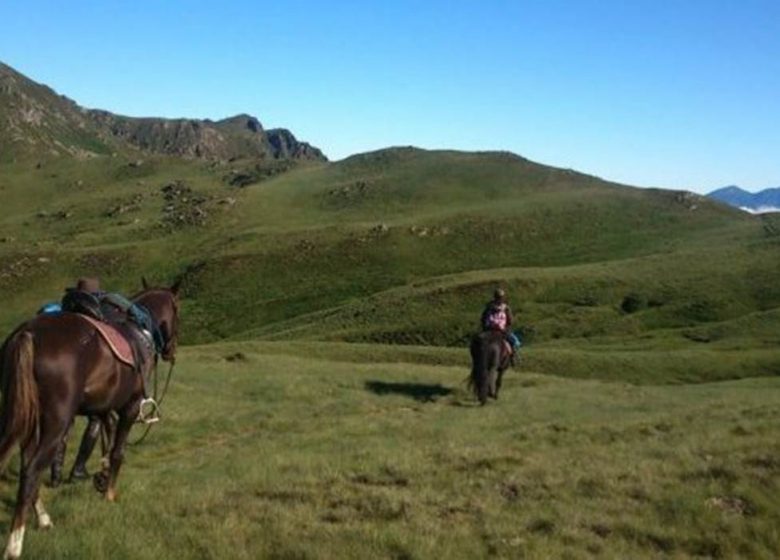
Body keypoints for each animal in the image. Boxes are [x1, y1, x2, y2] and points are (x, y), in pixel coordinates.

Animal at [0, 278, 180, 556]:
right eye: (177, 311)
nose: (171, 351)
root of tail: (28, 333)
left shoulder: (103, 409)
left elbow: (105, 439)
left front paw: (102, 479)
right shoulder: (129, 407)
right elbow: (118, 451)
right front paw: (109, 494)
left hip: (25, 416)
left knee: (26, 462)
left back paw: (43, 519)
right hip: (56, 422)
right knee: (31, 470)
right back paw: (14, 545)